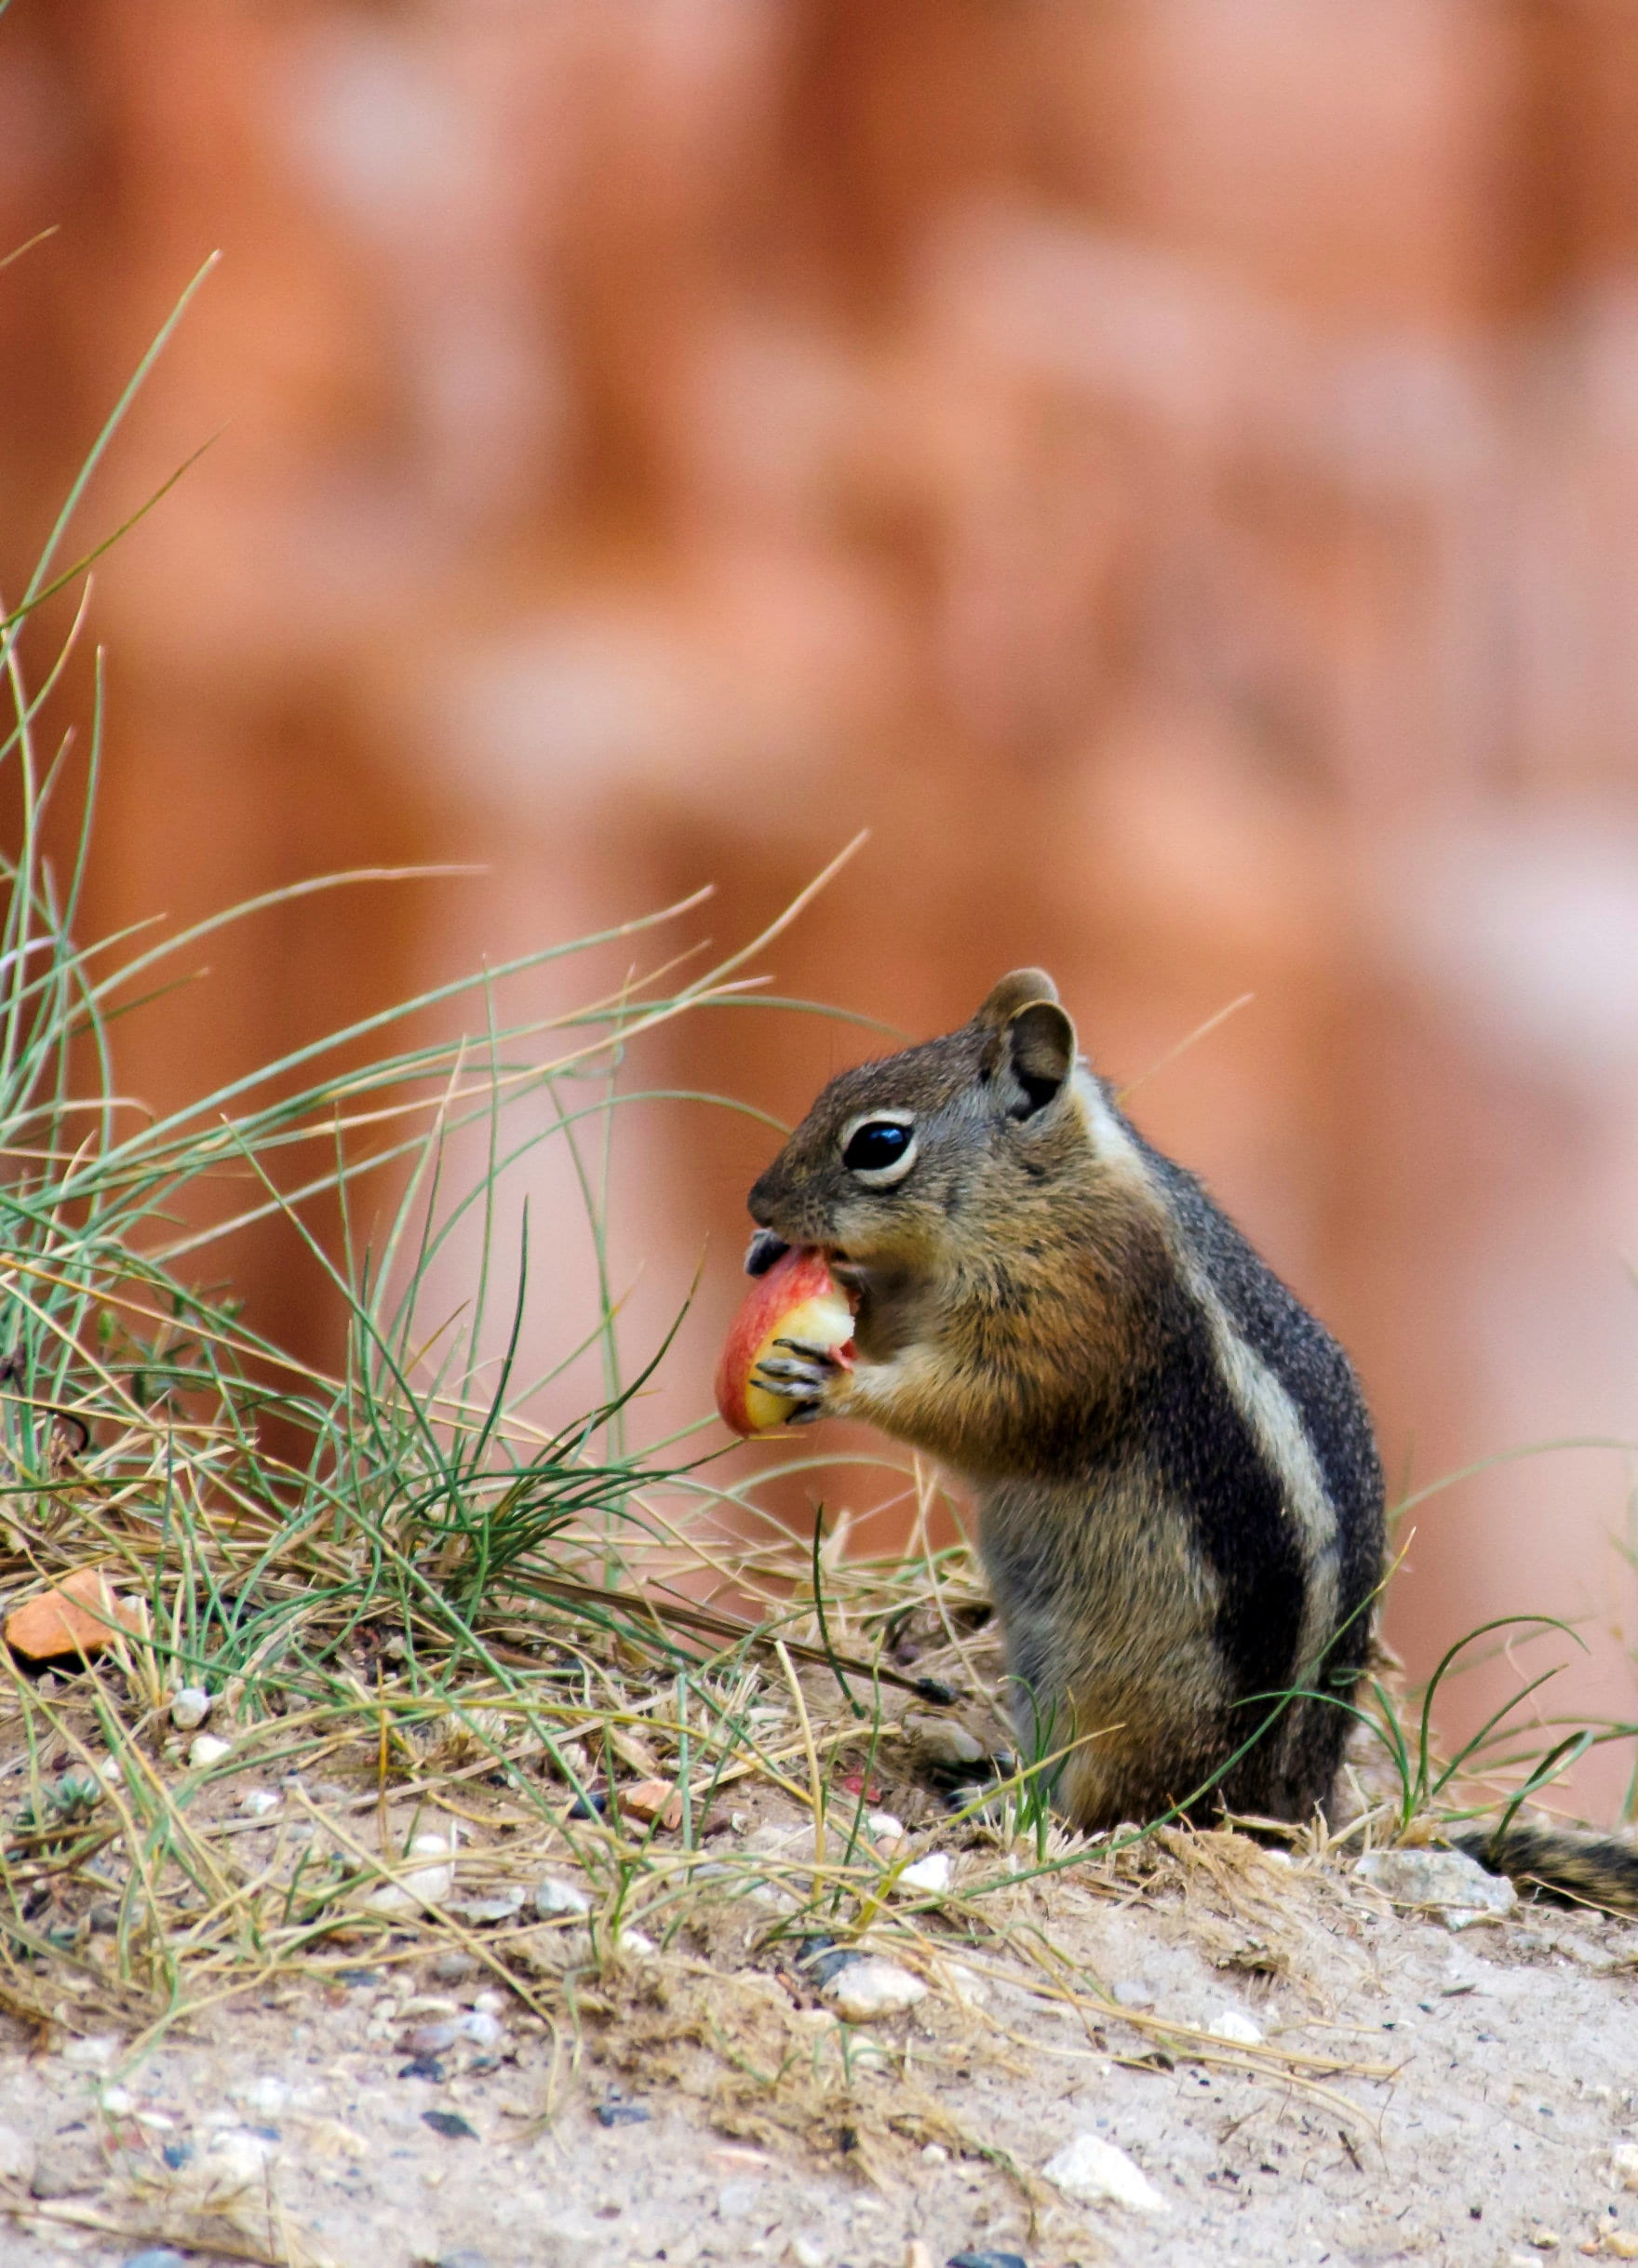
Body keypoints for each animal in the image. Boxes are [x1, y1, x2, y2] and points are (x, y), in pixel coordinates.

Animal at [740, 969, 1638, 1910]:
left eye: (879, 1142)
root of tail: (1292, 1810)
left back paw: (1001, 1805)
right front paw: (785, 1258)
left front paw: (831, 1379)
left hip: (1124, 1707)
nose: (758, 1202)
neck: (1046, 1184)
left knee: (1106, 1807)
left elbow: (986, 1407)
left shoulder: (1080, 1307)